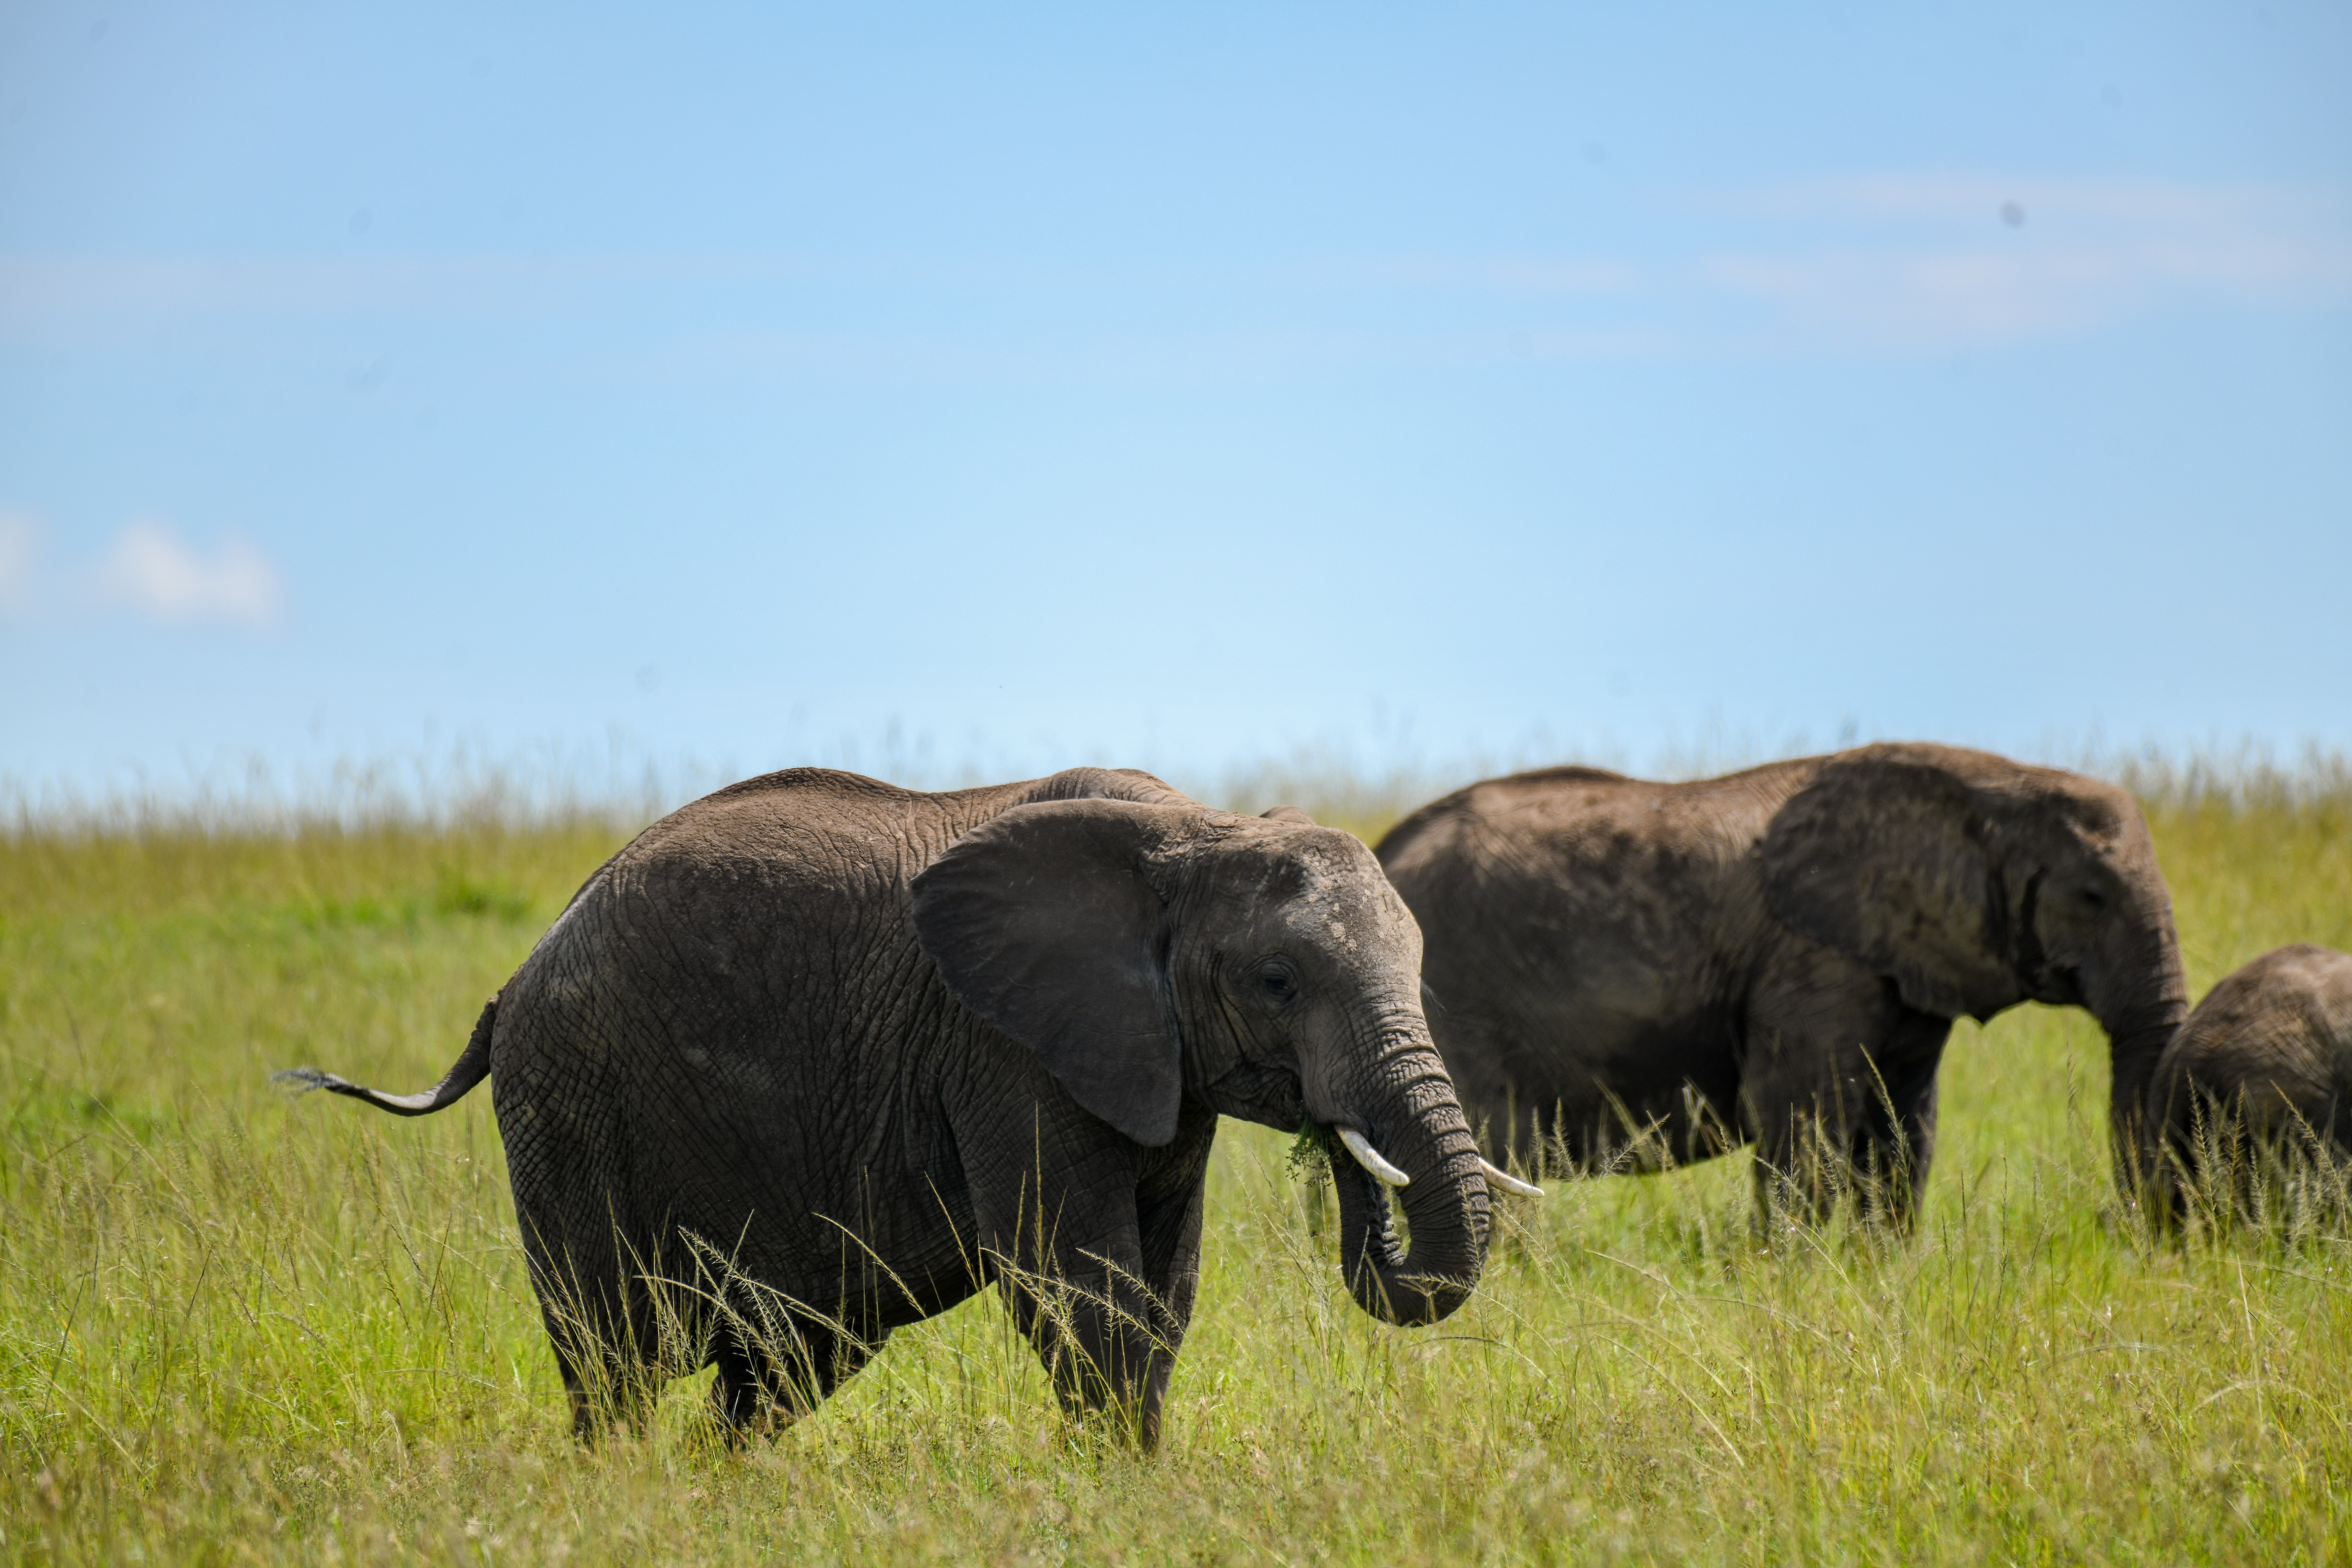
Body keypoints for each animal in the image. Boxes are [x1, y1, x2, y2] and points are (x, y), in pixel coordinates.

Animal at [280, 765, 1518, 1448]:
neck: (1196, 829)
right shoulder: (1005, 1047)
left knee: (784, 1363)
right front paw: (1118, 1493)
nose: (1344, 1148)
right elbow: (1078, 1281)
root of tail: (512, 983)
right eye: (1276, 982)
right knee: (615, 1362)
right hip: (567, 1107)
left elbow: (1161, 1295)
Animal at [1374, 743, 2189, 1223]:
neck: (1989, 781)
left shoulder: (1897, 964)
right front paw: (1797, 1271)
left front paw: (1877, 1269)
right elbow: (1802, 1109)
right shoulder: (1810, 959)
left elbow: (1905, 1124)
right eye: (2091, 897)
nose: (2128, 1228)